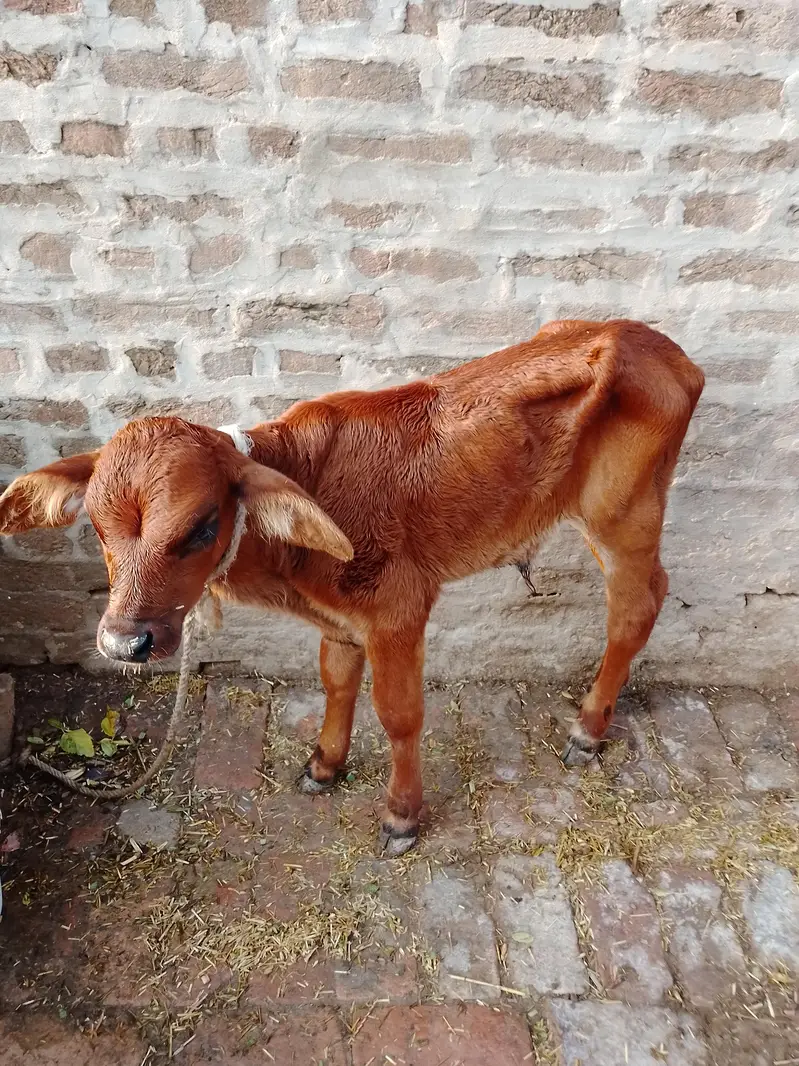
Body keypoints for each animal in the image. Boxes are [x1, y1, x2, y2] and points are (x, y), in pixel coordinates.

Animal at [0, 319, 704, 854]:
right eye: (95, 526)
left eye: (201, 527)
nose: (125, 643)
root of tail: (651, 343)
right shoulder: (340, 621)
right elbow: (337, 682)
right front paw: (325, 765)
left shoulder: (399, 610)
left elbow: (399, 714)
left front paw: (402, 815)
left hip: (623, 517)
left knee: (636, 608)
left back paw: (587, 730)